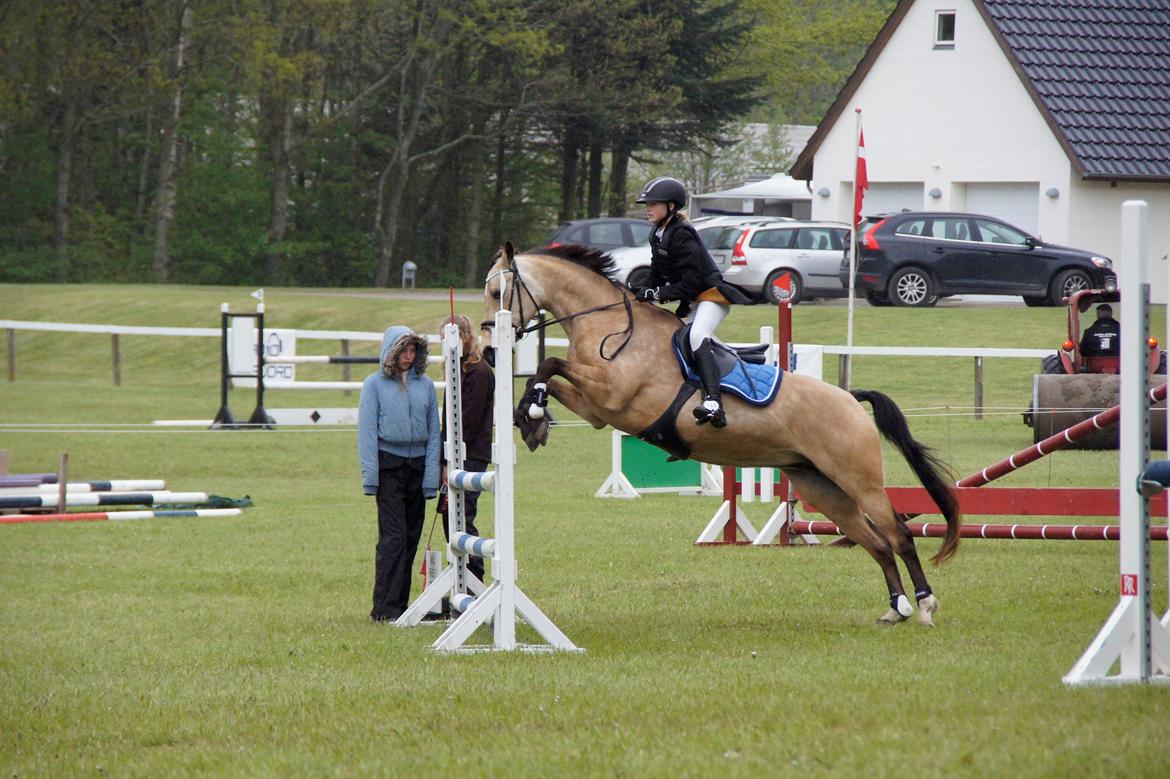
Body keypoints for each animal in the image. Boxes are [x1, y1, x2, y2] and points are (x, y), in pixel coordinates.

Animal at [482, 239, 959, 622]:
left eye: (496, 293)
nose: (488, 351)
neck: (610, 325)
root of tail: (850, 400)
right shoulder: (598, 409)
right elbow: (548, 372)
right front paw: (531, 419)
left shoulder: (613, 394)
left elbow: (549, 362)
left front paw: (533, 413)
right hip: (822, 487)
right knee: (875, 543)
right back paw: (895, 609)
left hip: (859, 481)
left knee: (898, 534)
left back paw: (925, 605)